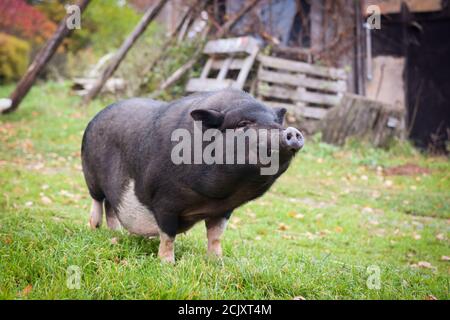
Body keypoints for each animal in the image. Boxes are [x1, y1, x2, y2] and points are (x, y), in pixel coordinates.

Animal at [82, 89, 304, 262]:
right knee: (97, 201)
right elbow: (168, 235)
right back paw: (95, 229)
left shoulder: (223, 210)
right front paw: (167, 264)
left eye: (275, 122)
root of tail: (95, 117)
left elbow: (215, 235)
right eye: (242, 124)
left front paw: (217, 262)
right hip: (90, 175)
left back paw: (115, 233)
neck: (211, 198)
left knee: (111, 206)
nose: (292, 131)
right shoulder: (164, 200)